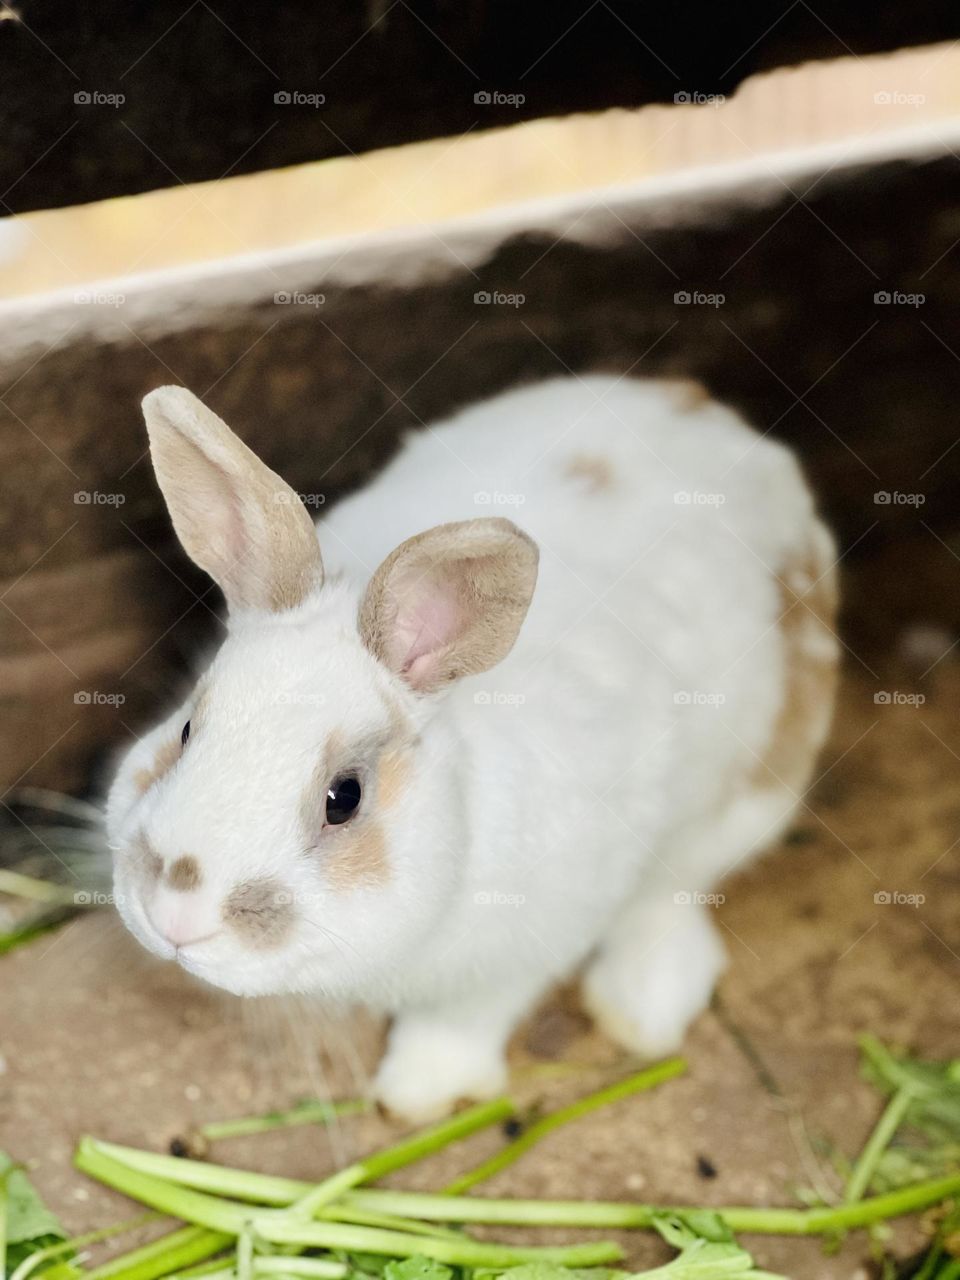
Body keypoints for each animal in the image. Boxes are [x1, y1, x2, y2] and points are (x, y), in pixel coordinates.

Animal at [106, 375, 838, 1121]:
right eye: (187, 730)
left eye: (346, 797)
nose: (175, 915)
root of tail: (705, 409)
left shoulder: (525, 950)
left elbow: (464, 1022)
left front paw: (417, 1094)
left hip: (747, 802)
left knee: (672, 894)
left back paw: (642, 1008)